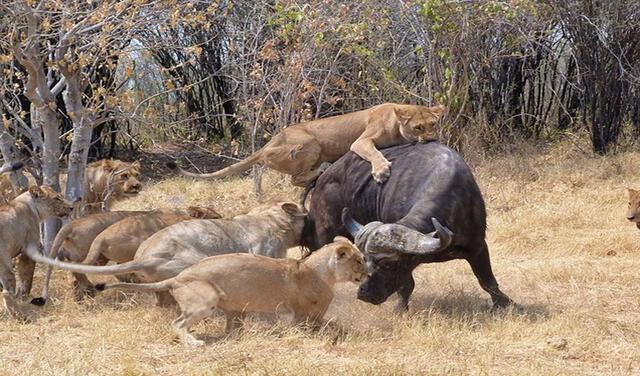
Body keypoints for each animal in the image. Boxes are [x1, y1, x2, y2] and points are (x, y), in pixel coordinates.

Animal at [0, 185, 73, 320]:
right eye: (57, 198)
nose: (72, 207)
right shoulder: (29, 249)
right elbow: (26, 275)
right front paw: (24, 297)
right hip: (4, 261)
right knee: (7, 292)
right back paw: (20, 315)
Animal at [94, 236, 364, 346]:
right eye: (359, 261)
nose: (368, 272)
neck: (324, 271)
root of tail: (178, 277)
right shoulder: (305, 316)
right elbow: (327, 327)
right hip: (207, 298)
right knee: (177, 323)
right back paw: (194, 342)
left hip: (234, 308)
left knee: (227, 327)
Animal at [168, 103, 442, 187]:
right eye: (418, 127)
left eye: (434, 125)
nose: (431, 139)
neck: (398, 127)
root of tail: (267, 144)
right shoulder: (361, 141)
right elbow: (374, 153)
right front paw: (381, 171)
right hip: (310, 143)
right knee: (295, 179)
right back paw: (320, 171)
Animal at [302, 142, 512, 310]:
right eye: (364, 260)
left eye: (387, 264)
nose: (364, 294)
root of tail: (322, 178)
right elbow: (406, 285)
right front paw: (400, 309)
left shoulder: (478, 246)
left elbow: (487, 280)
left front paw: (505, 304)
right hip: (324, 236)